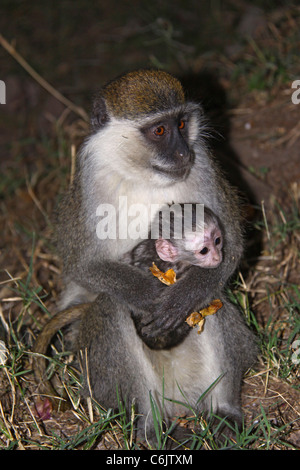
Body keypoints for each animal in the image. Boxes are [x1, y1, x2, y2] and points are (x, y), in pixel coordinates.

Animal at [55, 70, 256, 440]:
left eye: (181, 124)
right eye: (159, 130)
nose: (182, 153)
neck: (144, 174)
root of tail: (179, 403)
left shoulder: (203, 164)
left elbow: (232, 245)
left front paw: (178, 300)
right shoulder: (88, 176)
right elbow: (84, 265)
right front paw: (151, 295)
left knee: (212, 301)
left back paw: (223, 412)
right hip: (100, 380)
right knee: (111, 307)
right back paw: (151, 426)